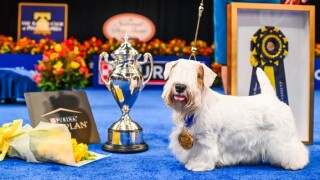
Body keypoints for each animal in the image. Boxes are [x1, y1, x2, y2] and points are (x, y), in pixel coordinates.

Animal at [161, 58, 308, 172]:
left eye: (197, 76)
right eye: (174, 72)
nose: (180, 87)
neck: (196, 108)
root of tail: (272, 97)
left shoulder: (206, 138)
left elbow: (205, 153)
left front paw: (198, 165)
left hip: (283, 137)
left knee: (295, 149)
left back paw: (296, 163)